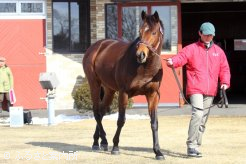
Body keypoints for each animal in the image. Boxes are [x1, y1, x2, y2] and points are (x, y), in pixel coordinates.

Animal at [82, 10, 165, 160]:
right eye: (140, 31)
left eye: (154, 32)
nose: (140, 55)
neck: (145, 68)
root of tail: (96, 46)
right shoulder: (124, 93)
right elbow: (121, 120)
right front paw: (115, 147)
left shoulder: (153, 95)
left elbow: (154, 123)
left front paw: (158, 152)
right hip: (94, 85)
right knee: (96, 112)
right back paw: (103, 141)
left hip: (109, 90)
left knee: (101, 112)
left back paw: (98, 142)